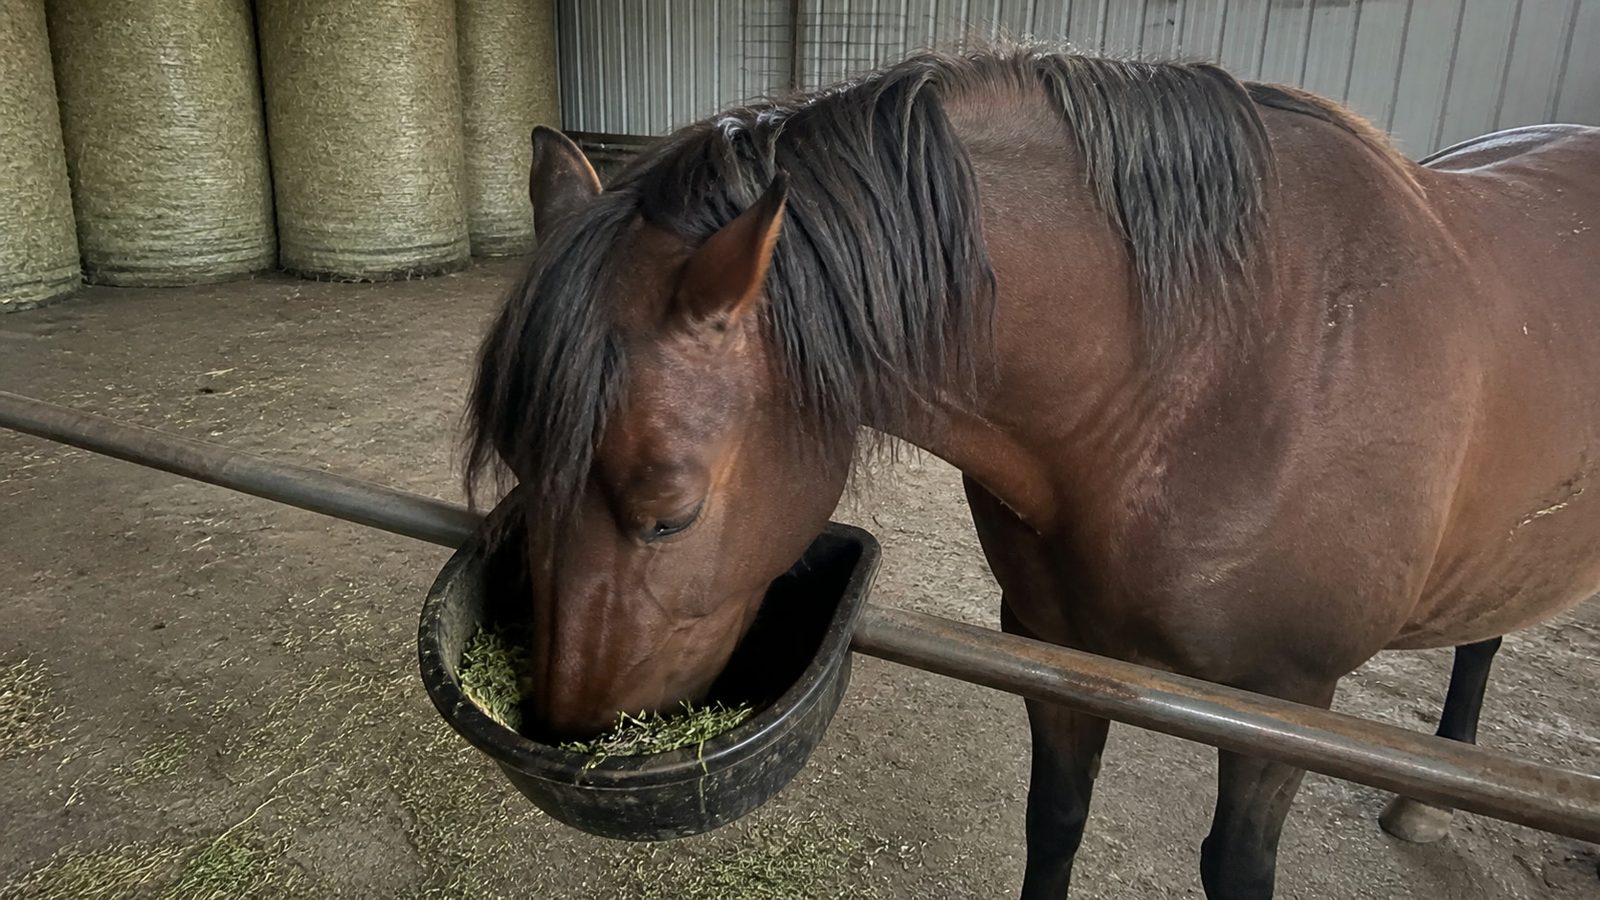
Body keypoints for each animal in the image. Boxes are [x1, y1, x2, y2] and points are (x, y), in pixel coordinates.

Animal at [462, 47, 1600, 899]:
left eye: (669, 513)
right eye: (520, 466)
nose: (566, 729)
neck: (1220, 365)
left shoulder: (1289, 705)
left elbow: (1234, 869)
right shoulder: (1055, 653)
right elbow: (1053, 820)